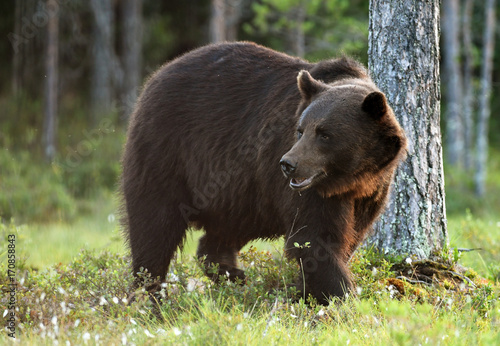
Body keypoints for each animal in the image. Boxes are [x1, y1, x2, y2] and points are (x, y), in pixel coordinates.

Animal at [122, 42, 406, 304]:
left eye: (325, 134)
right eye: (301, 130)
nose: (288, 164)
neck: (351, 179)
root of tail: (157, 75)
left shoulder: (371, 193)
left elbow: (349, 237)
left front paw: (306, 291)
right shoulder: (310, 193)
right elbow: (315, 240)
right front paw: (342, 298)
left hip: (239, 196)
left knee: (220, 232)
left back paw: (231, 273)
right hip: (167, 152)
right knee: (154, 224)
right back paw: (149, 294)